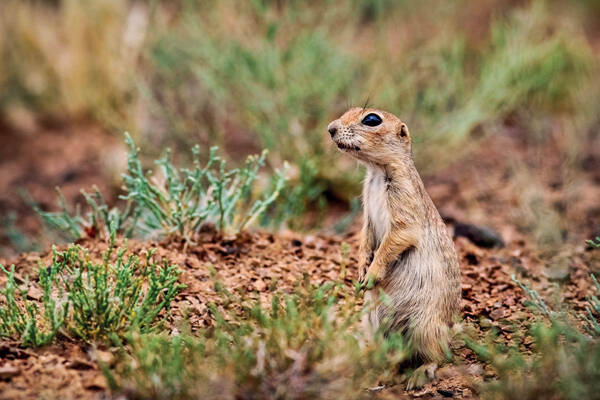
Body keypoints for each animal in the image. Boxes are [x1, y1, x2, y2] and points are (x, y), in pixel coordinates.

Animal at [328, 107, 460, 388]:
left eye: (372, 119)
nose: (330, 128)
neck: (377, 172)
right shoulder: (367, 212)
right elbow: (365, 238)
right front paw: (360, 272)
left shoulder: (404, 204)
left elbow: (396, 238)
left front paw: (371, 275)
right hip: (371, 322)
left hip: (424, 326)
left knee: (438, 356)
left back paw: (419, 374)